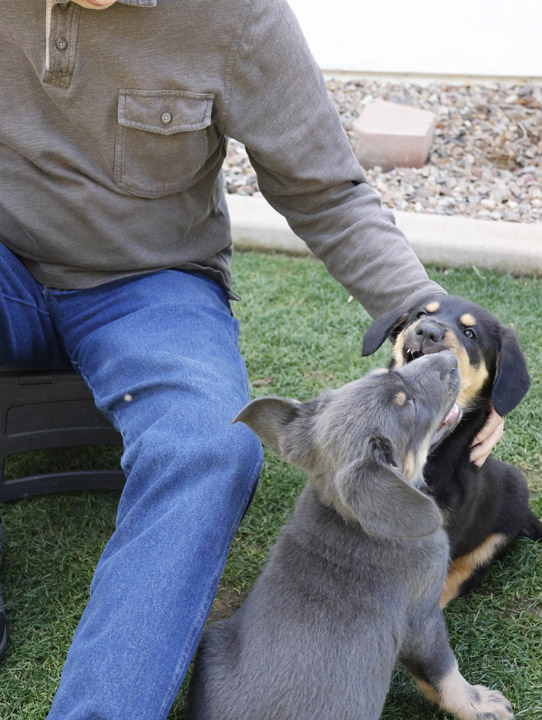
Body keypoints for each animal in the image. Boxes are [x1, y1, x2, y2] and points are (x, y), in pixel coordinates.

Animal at [189, 352, 516, 716]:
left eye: (382, 372)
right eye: (409, 404)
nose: (448, 357)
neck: (351, 521)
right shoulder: (422, 620)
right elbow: (444, 672)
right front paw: (480, 704)